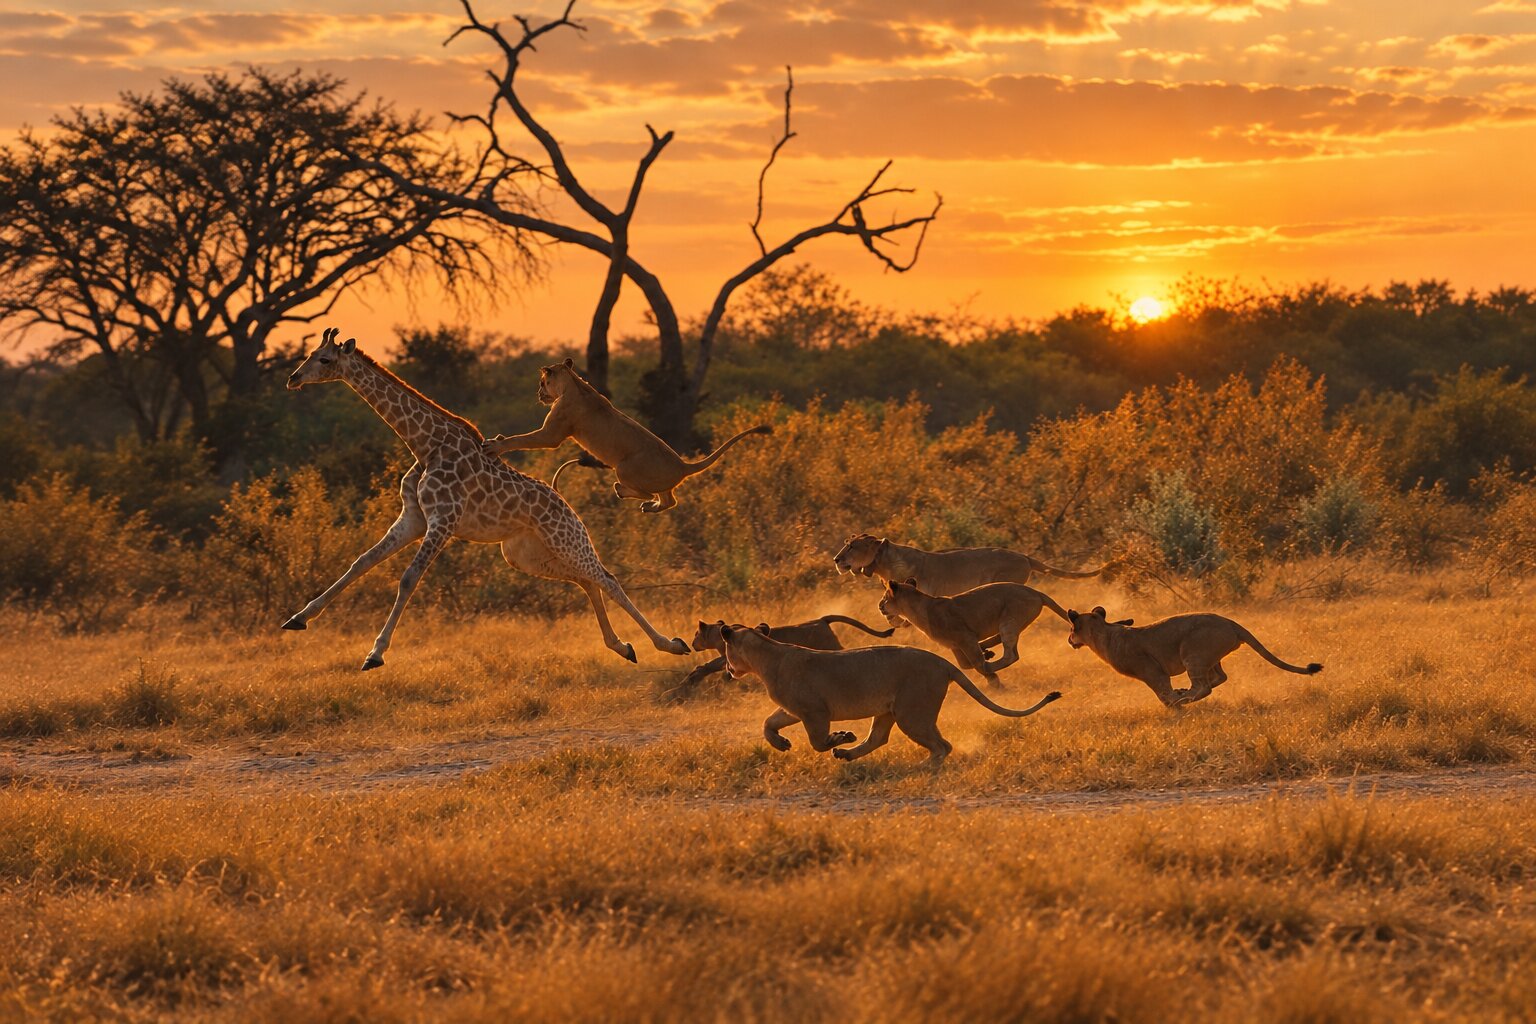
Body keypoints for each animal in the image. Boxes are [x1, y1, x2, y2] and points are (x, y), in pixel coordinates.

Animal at [281, 327, 691, 670]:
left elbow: (408, 579)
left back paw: (669, 644)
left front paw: (375, 654)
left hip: (567, 539)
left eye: (325, 359)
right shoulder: (413, 518)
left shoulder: (443, 521)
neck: (426, 444)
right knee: (586, 581)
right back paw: (622, 646)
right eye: (310, 353)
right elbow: (360, 562)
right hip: (525, 554)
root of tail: (565, 501)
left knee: (607, 578)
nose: (293, 378)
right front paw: (298, 618)